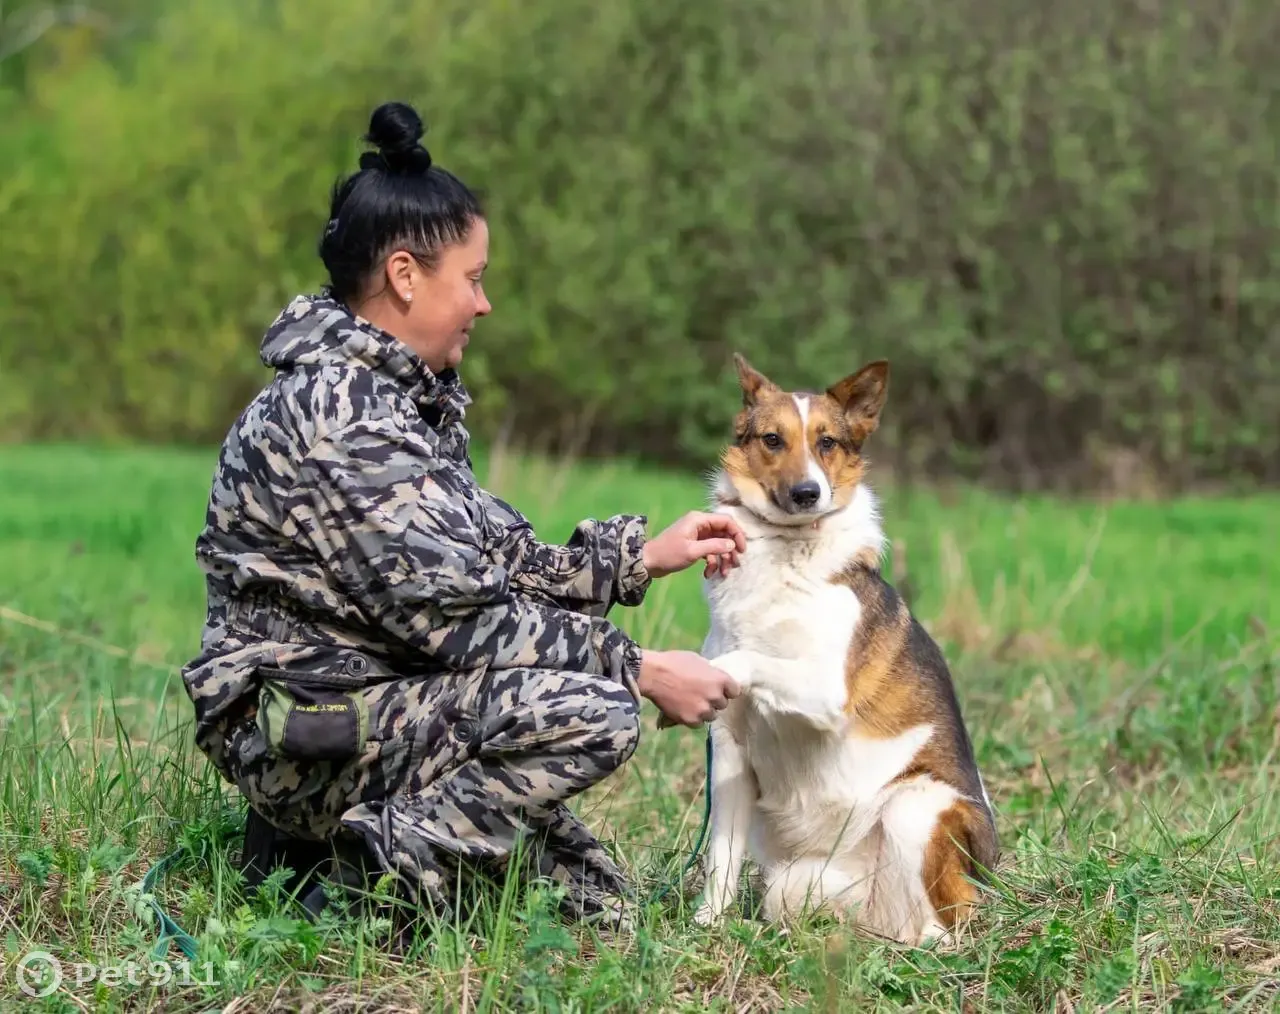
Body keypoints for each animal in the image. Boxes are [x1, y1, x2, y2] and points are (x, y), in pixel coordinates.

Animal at [691, 353, 998, 947]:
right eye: (772, 439)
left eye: (827, 442)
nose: (808, 493)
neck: (787, 549)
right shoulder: (731, 752)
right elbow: (721, 859)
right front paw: (706, 926)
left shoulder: (828, 691)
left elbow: (745, 659)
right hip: (792, 886)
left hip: (915, 808)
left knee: (947, 930)